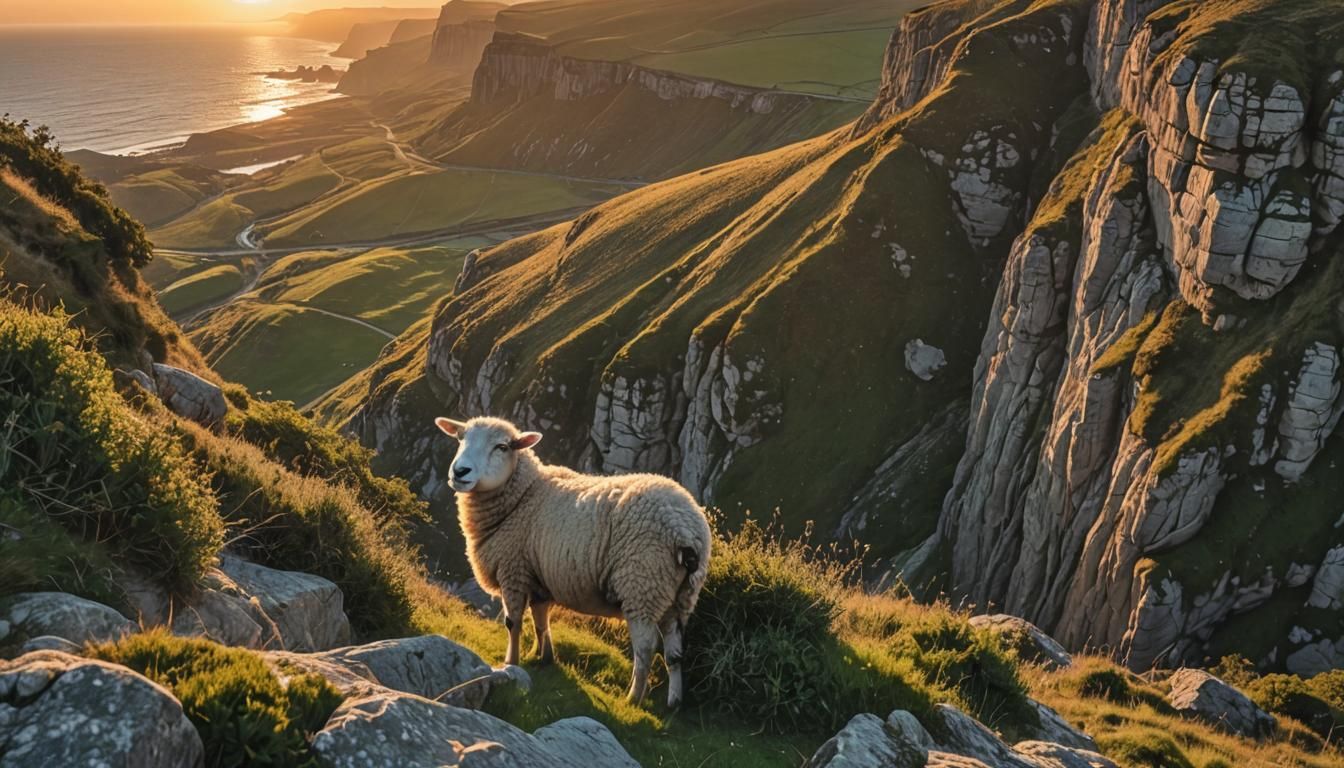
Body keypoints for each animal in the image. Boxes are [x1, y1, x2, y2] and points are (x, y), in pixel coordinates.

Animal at [434, 415, 711, 707]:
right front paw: (542, 657)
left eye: (502, 447)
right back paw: (674, 702)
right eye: (460, 439)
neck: (524, 496)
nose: (460, 472)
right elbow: (541, 621)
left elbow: (514, 622)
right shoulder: (537, 576)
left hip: (644, 583)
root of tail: (687, 529)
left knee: (646, 647)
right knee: (675, 651)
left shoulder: (513, 570)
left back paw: (633, 698)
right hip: (678, 595)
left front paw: (511, 662)